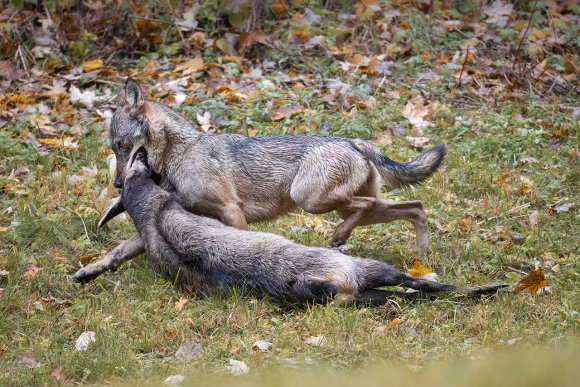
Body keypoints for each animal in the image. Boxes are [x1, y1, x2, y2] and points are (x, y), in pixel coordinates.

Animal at [72, 79, 444, 284]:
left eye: (122, 146)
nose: (118, 185)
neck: (182, 154)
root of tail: (353, 141)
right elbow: (118, 250)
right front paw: (88, 272)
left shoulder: (231, 210)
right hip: (350, 206)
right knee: (415, 207)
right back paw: (422, 258)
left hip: (312, 200)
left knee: (371, 207)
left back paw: (342, 238)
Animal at [115, 153, 506, 304]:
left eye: (136, 159)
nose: (139, 158)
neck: (153, 213)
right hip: (366, 266)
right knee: (425, 284)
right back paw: (485, 288)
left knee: (406, 210)